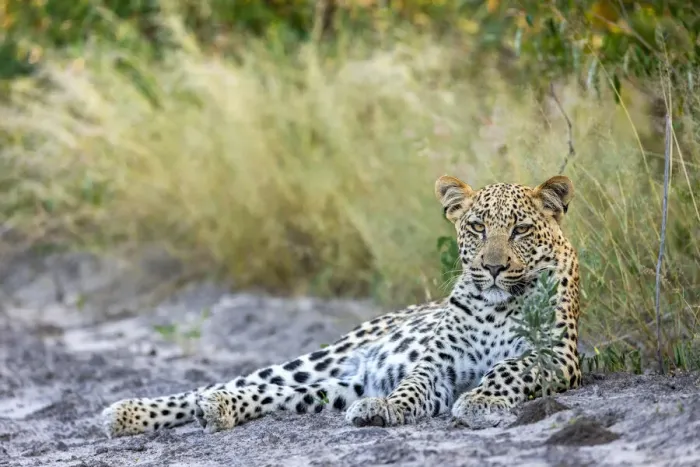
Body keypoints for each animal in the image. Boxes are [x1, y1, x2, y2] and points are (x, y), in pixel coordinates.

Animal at [101, 173, 581, 438]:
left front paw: (481, 399)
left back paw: (217, 408)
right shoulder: (436, 366)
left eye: (520, 230)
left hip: (337, 385)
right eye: (478, 227)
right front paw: (386, 408)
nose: (494, 267)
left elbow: (508, 368)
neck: (495, 307)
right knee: (227, 384)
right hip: (322, 359)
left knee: (275, 395)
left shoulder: (558, 356)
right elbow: (411, 386)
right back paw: (129, 412)